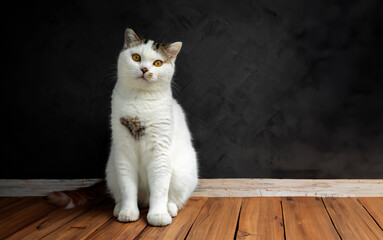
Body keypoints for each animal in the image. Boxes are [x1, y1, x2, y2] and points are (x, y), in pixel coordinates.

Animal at [106, 28, 200, 227]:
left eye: (158, 63)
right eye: (136, 57)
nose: (144, 69)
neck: (140, 99)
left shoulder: (160, 151)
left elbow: (159, 189)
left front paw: (158, 216)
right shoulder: (123, 152)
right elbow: (127, 188)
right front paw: (128, 212)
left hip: (182, 173)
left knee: (174, 199)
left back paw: (169, 209)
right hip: (111, 171)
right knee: (120, 194)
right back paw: (118, 208)